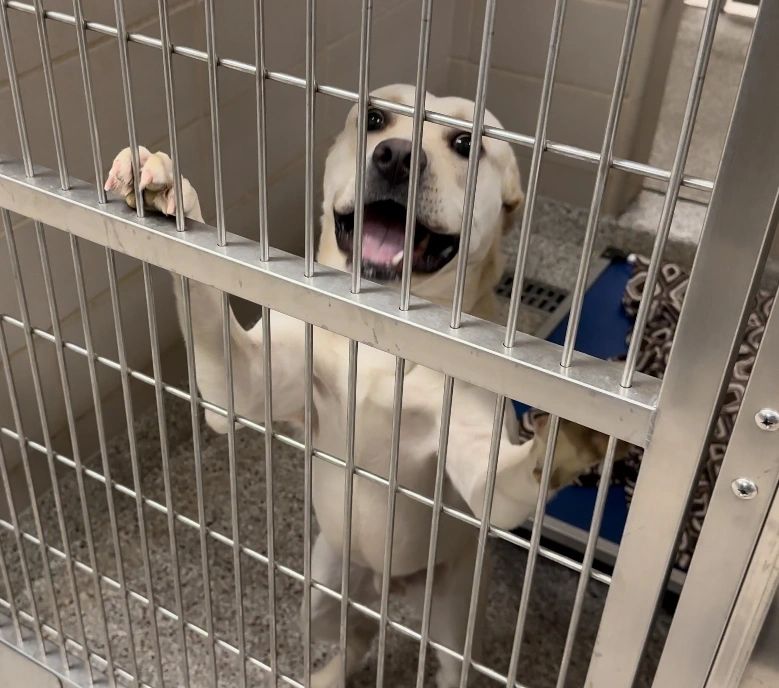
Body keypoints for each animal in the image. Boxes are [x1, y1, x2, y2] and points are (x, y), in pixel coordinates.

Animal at [106, 83, 612, 684]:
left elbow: (506, 476)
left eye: (466, 143)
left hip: (452, 614)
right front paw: (163, 191)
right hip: (323, 591)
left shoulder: (479, 468)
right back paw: (329, 672)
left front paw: (572, 436)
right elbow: (205, 298)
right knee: (357, 635)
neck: (381, 332)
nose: (395, 157)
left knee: (446, 662)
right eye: (374, 119)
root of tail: (389, 587)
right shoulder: (244, 385)